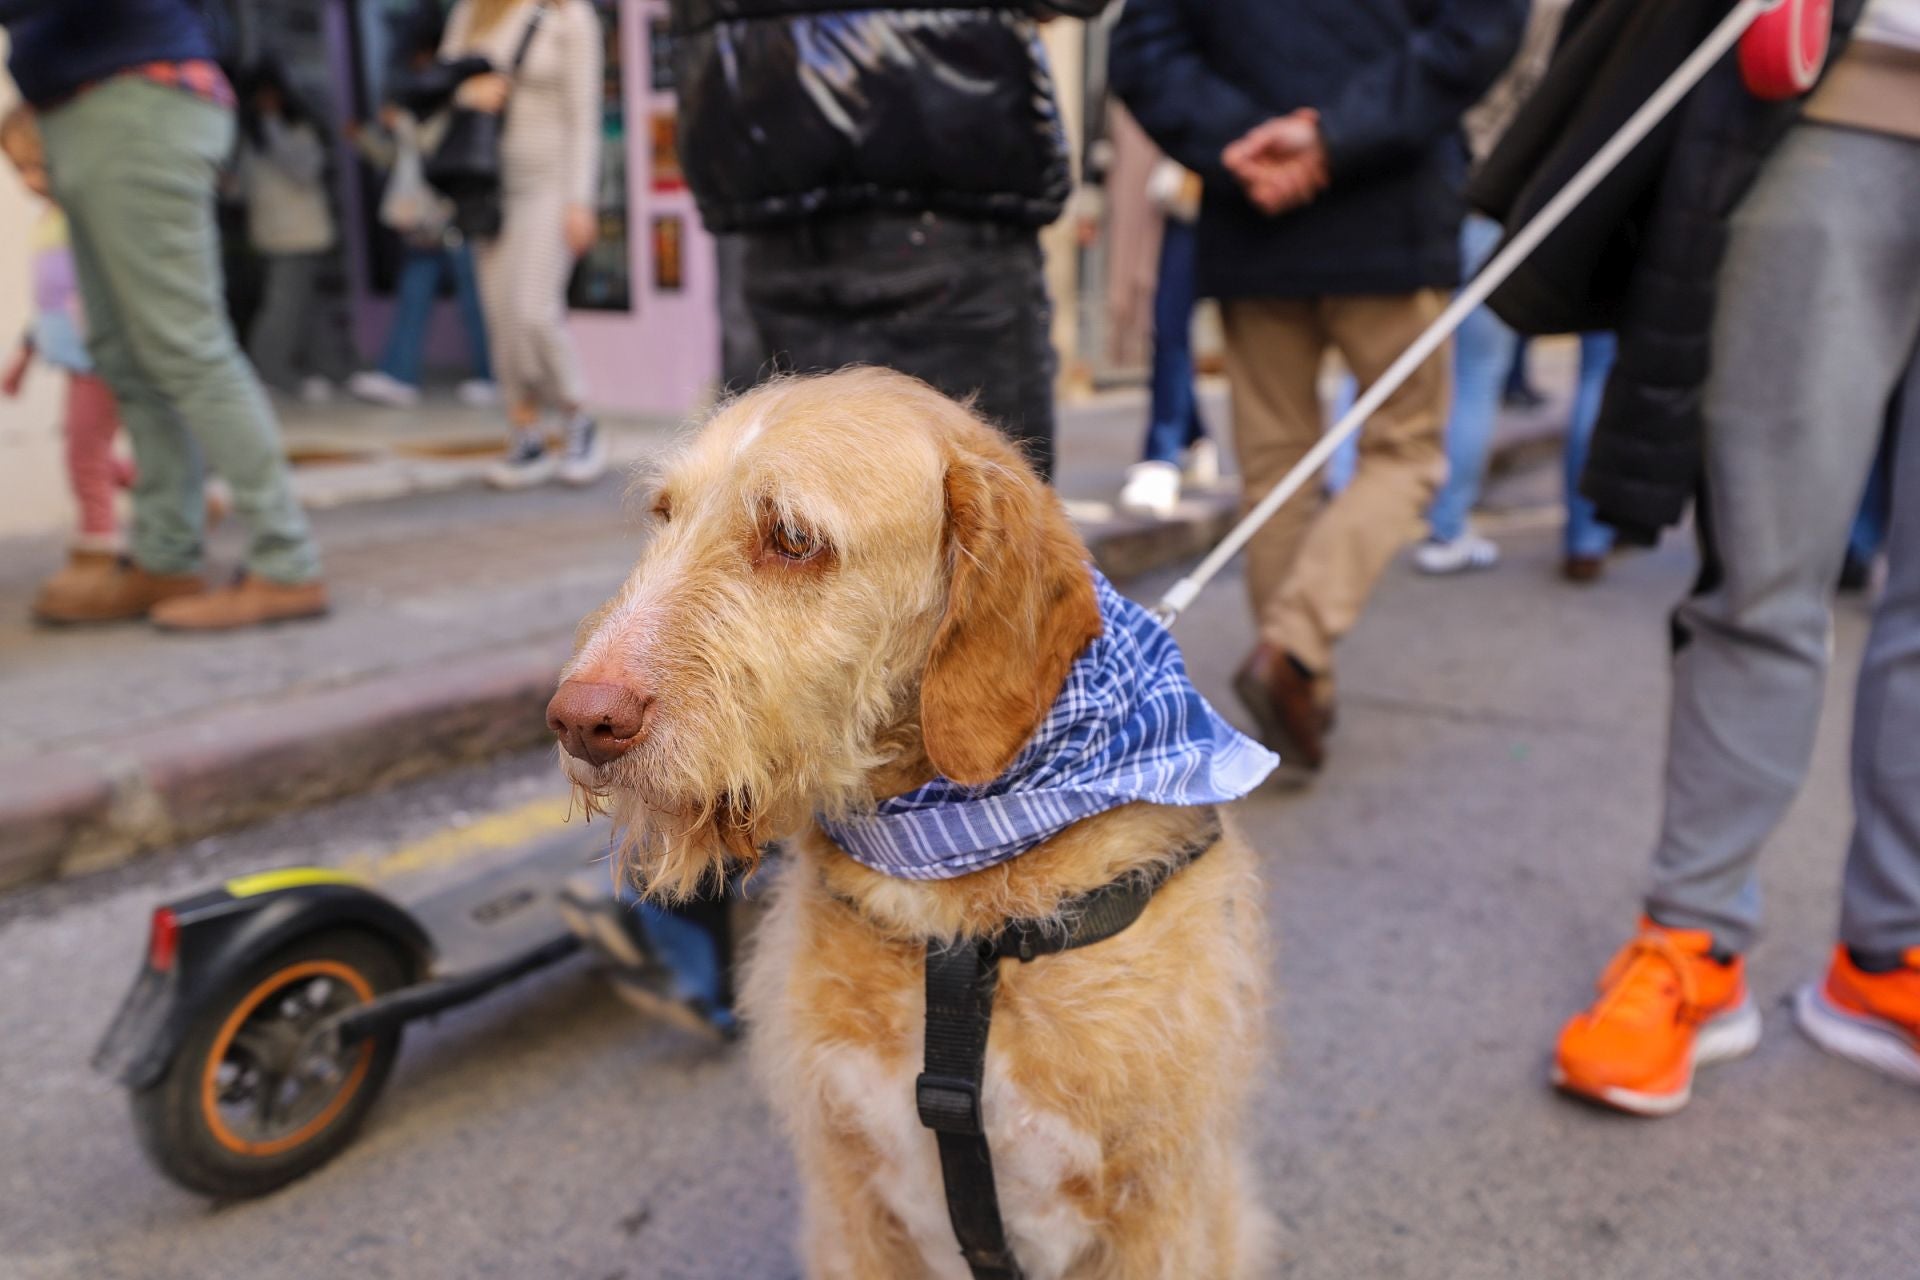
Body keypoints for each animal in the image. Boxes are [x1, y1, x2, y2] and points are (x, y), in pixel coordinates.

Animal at [552, 370, 1274, 1280]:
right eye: (664, 515)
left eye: (792, 537)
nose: (578, 719)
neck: (952, 907)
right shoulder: (851, 1203)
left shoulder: (1160, 1214)